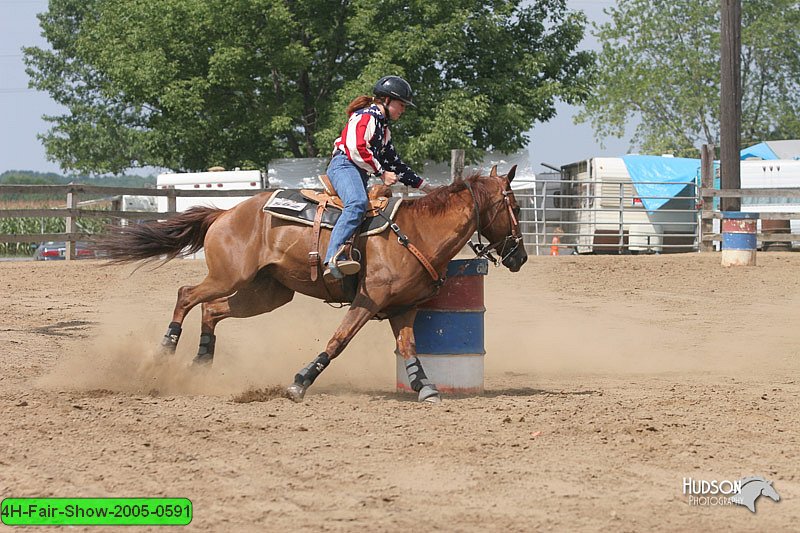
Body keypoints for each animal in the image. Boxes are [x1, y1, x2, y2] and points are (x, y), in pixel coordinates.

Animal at [98, 164, 524, 402]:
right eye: (516, 207)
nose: (519, 256)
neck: (417, 232)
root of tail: (225, 214)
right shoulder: (367, 301)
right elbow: (338, 342)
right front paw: (300, 382)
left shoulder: (403, 308)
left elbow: (409, 348)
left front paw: (426, 388)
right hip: (228, 276)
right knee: (187, 295)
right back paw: (165, 350)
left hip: (267, 293)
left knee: (212, 309)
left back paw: (202, 362)